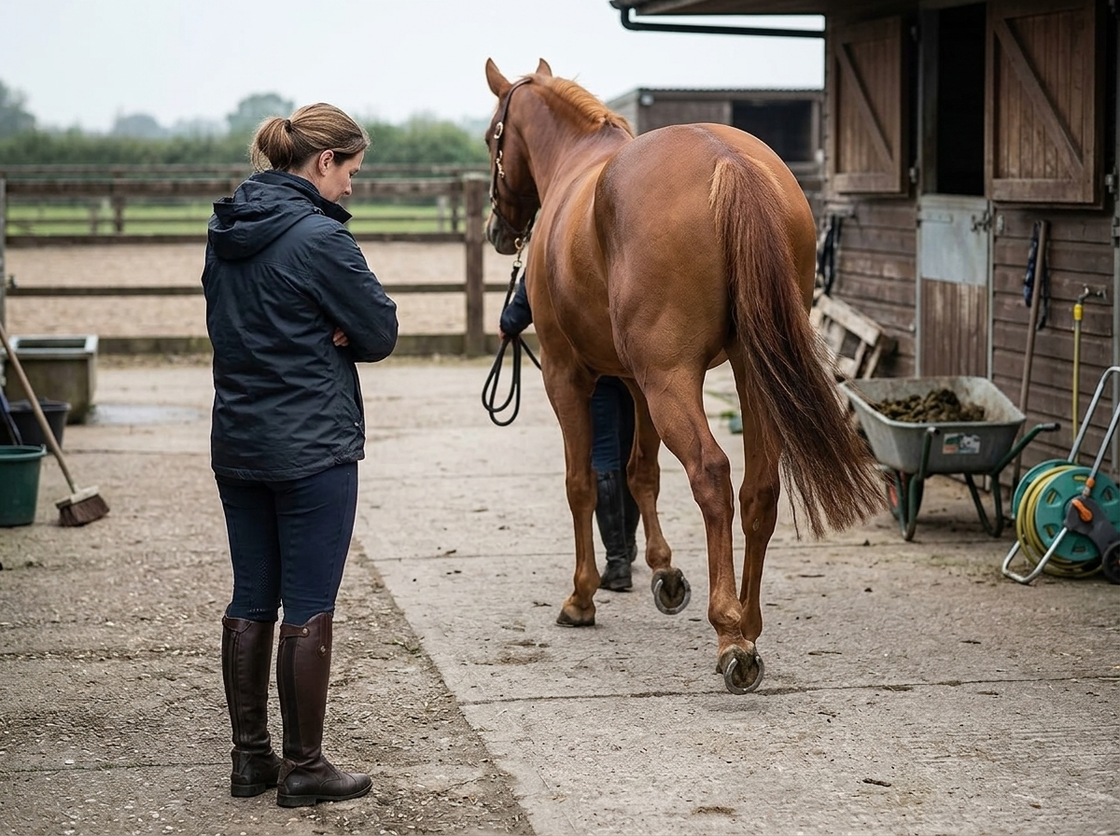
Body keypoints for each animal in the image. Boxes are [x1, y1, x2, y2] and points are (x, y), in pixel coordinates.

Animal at [483, 58, 885, 694]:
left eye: (490, 137)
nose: (498, 230)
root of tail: (728, 159)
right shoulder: (635, 384)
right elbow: (640, 474)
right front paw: (665, 574)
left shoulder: (571, 378)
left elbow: (581, 483)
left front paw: (581, 596)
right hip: (746, 373)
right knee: (758, 489)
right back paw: (749, 621)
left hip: (672, 382)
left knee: (712, 474)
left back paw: (730, 638)